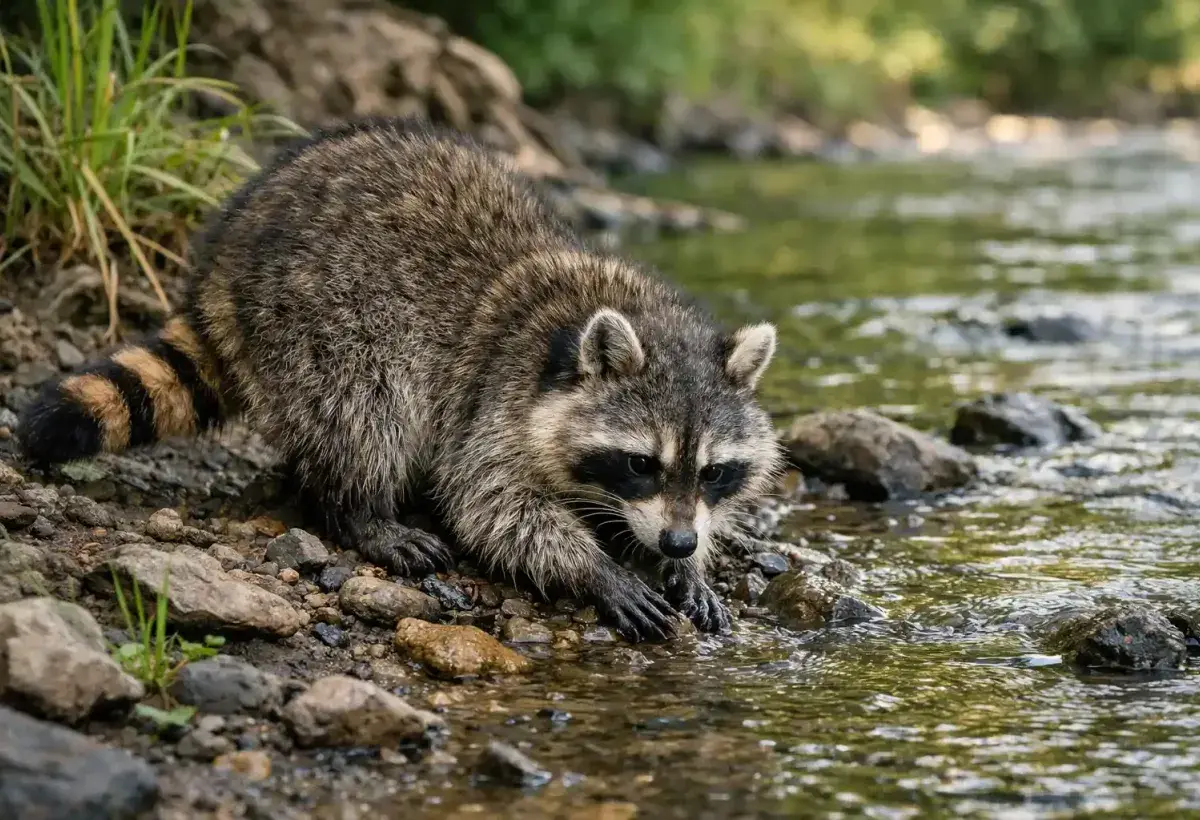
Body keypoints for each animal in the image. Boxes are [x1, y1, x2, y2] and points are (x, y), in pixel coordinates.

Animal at [17, 118, 783, 641]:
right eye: (640, 463)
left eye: (714, 472)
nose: (678, 543)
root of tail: (223, 261)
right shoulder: (495, 395)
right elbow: (492, 504)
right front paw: (596, 569)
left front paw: (689, 565)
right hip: (321, 316)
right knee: (366, 408)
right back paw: (362, 510)